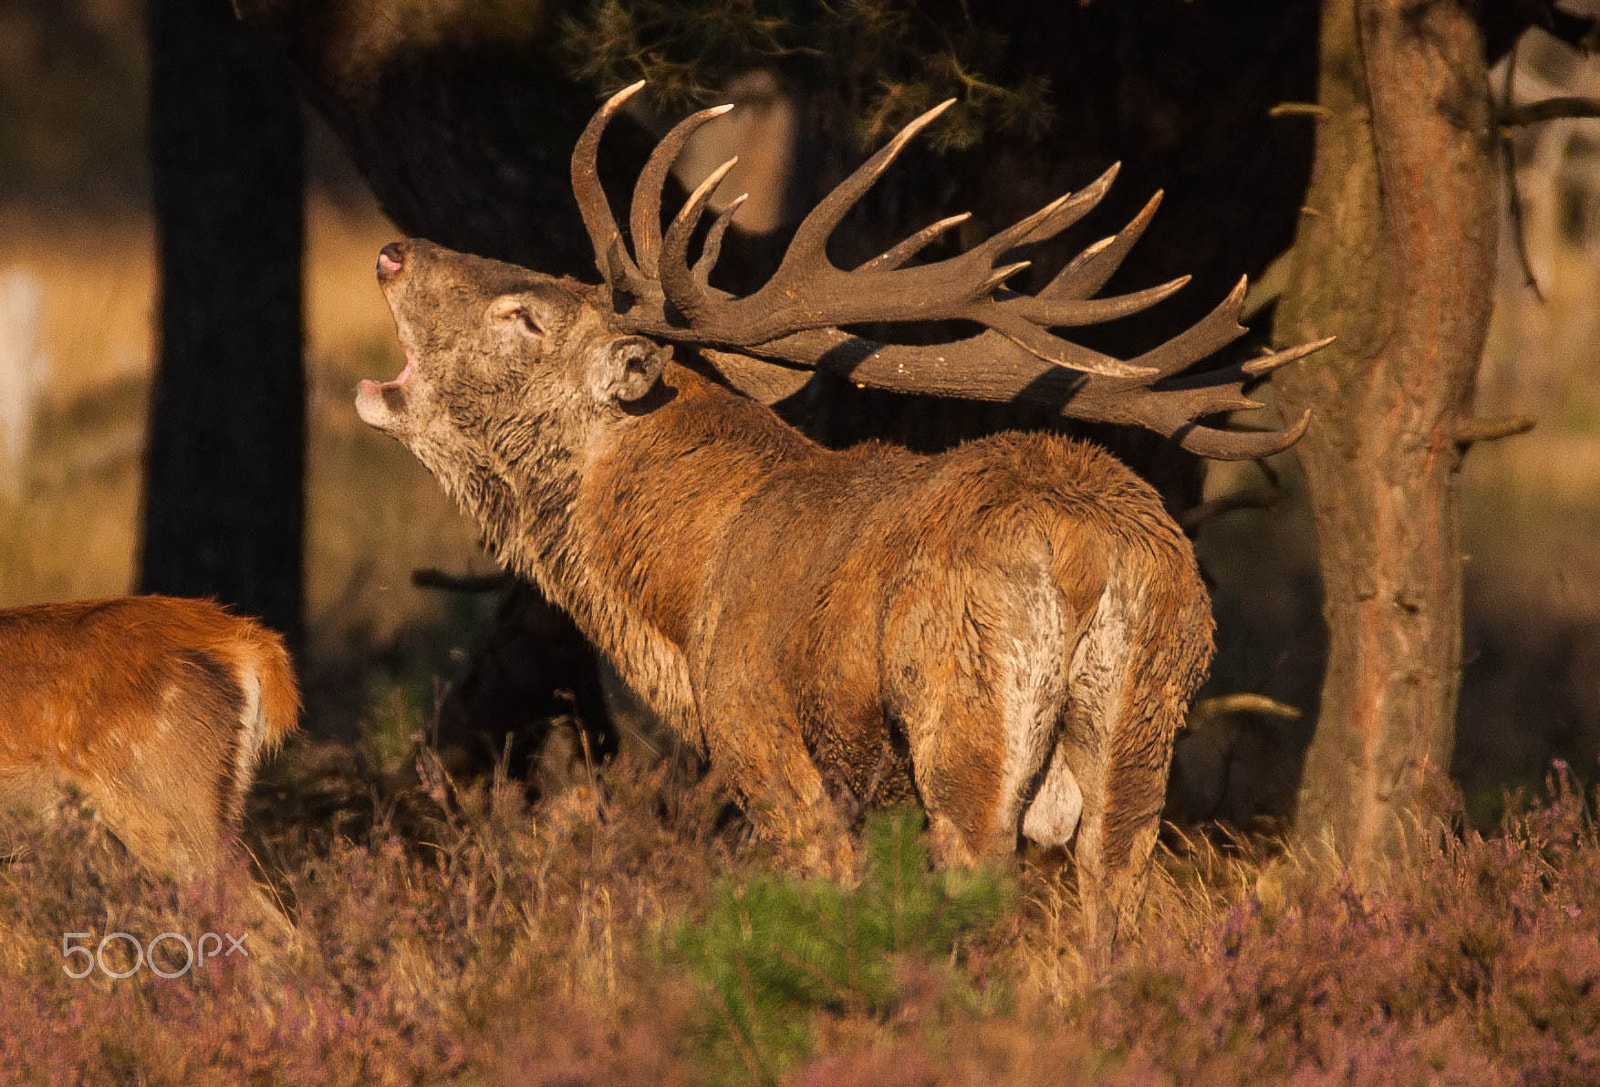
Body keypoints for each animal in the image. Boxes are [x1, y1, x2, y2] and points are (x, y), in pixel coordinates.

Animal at [355, 82, 1329, 950]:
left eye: (525, 316)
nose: (394, 251)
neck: (683, 597)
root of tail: (1094, 553)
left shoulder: (768, 752)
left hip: (964, 704)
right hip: (1151, 709)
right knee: (1113, 897)